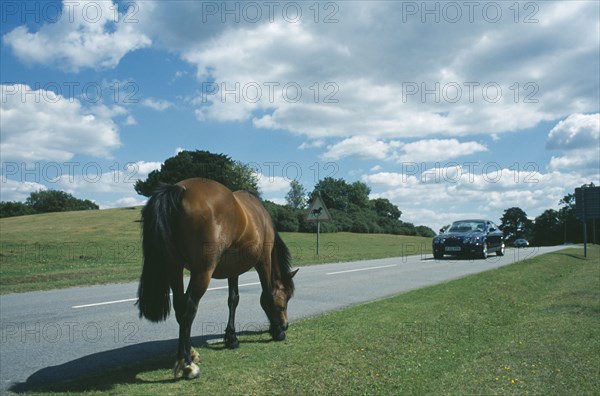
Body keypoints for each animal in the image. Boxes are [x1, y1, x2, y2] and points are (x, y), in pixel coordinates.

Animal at [135, 178, 296, 378]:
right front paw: (276, 332)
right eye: (287, 296)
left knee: (180, 307)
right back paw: (186, 363)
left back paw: (190, 353)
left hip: (175, 267)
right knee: (188, 308)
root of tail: (180, 189)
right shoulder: (264, 261)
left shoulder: (233, 269)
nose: (285, 325)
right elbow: (267, 295)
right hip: (203, 271)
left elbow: (233, 299)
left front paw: (231, 338)